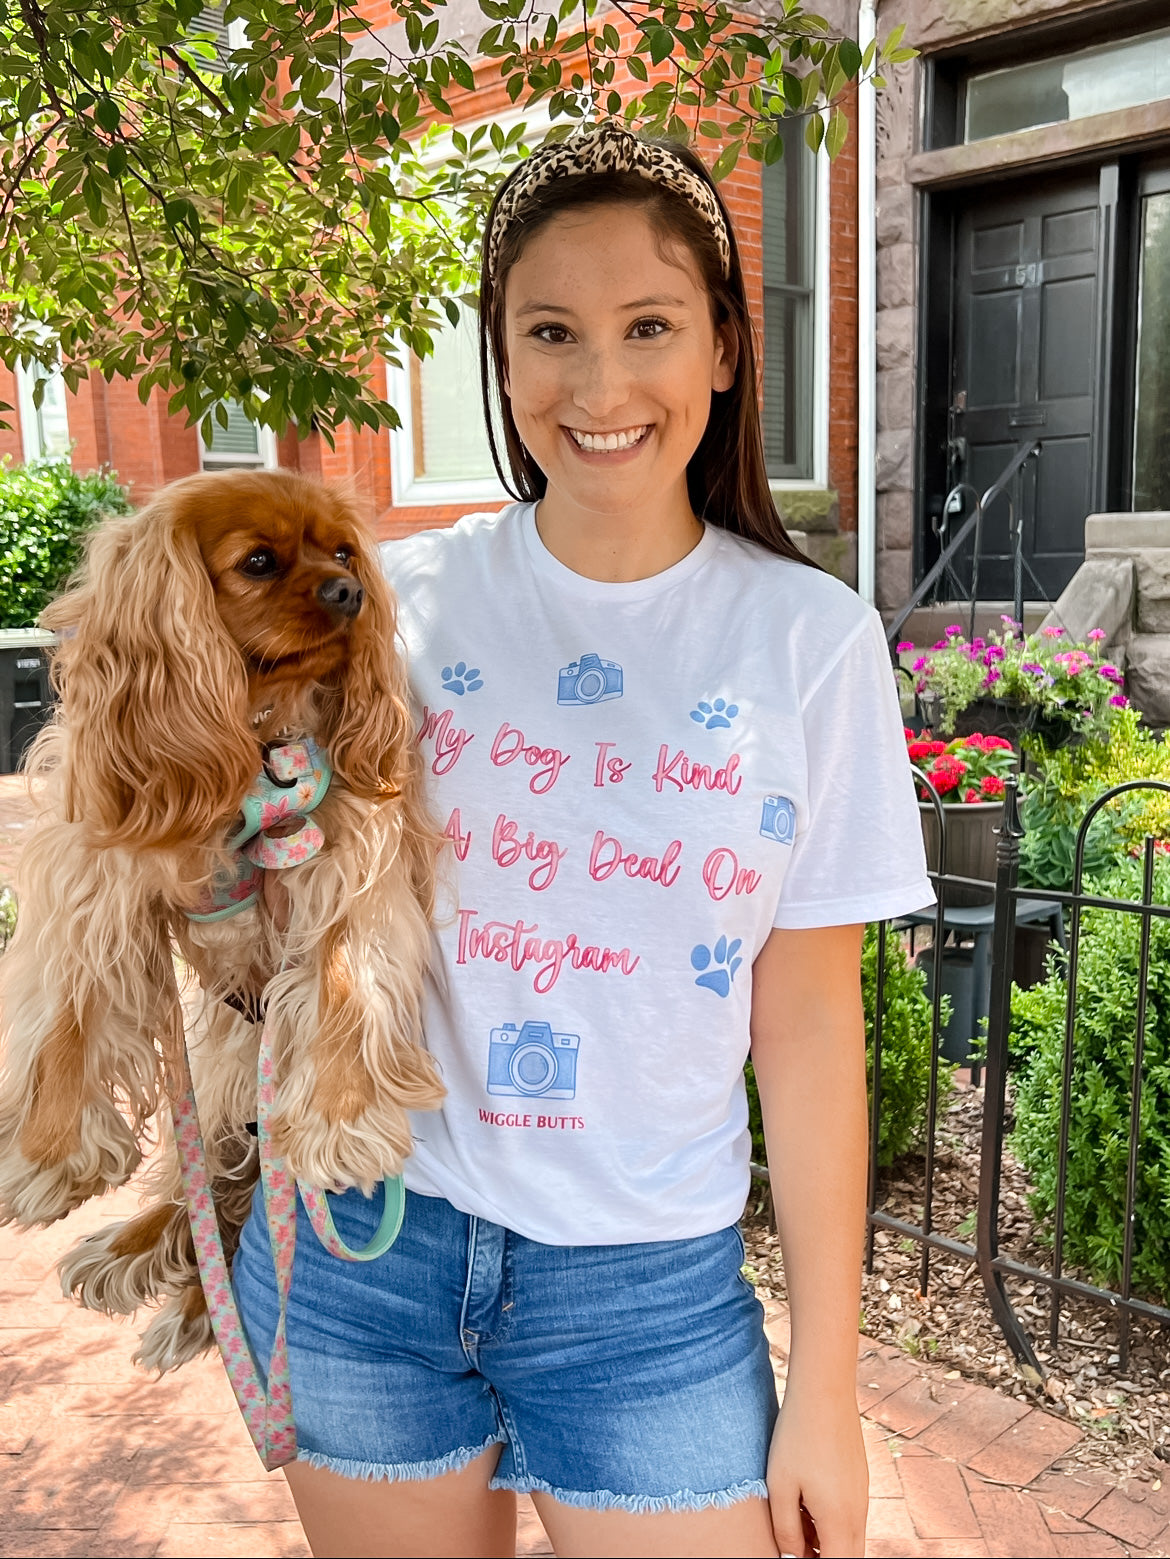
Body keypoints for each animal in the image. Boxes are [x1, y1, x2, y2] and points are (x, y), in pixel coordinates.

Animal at [0, 467, 443, 1371]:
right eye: (259, 562)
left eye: (344, 553)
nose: (349, 593)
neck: (254, 739)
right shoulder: (96, 868)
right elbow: (67, 1012)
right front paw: (48, 1157)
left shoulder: (352, 861)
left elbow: (342, 984)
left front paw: (343, 1125)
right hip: (213, 1074)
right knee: (203, 1179)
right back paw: (139, 1247)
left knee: (236, 1191)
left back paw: (193, 1299)